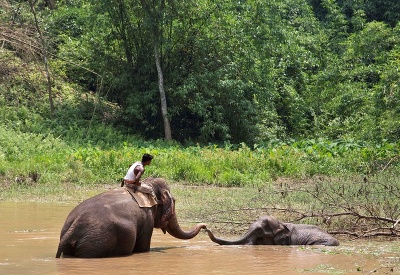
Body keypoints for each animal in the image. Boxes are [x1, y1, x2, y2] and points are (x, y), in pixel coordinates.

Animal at [55, 179, 206, 258]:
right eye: (174, 201)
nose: (204, 225)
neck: (147, 186)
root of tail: (72, 228)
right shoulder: (147, 221)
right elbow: (143, 248)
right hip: (93, 245)